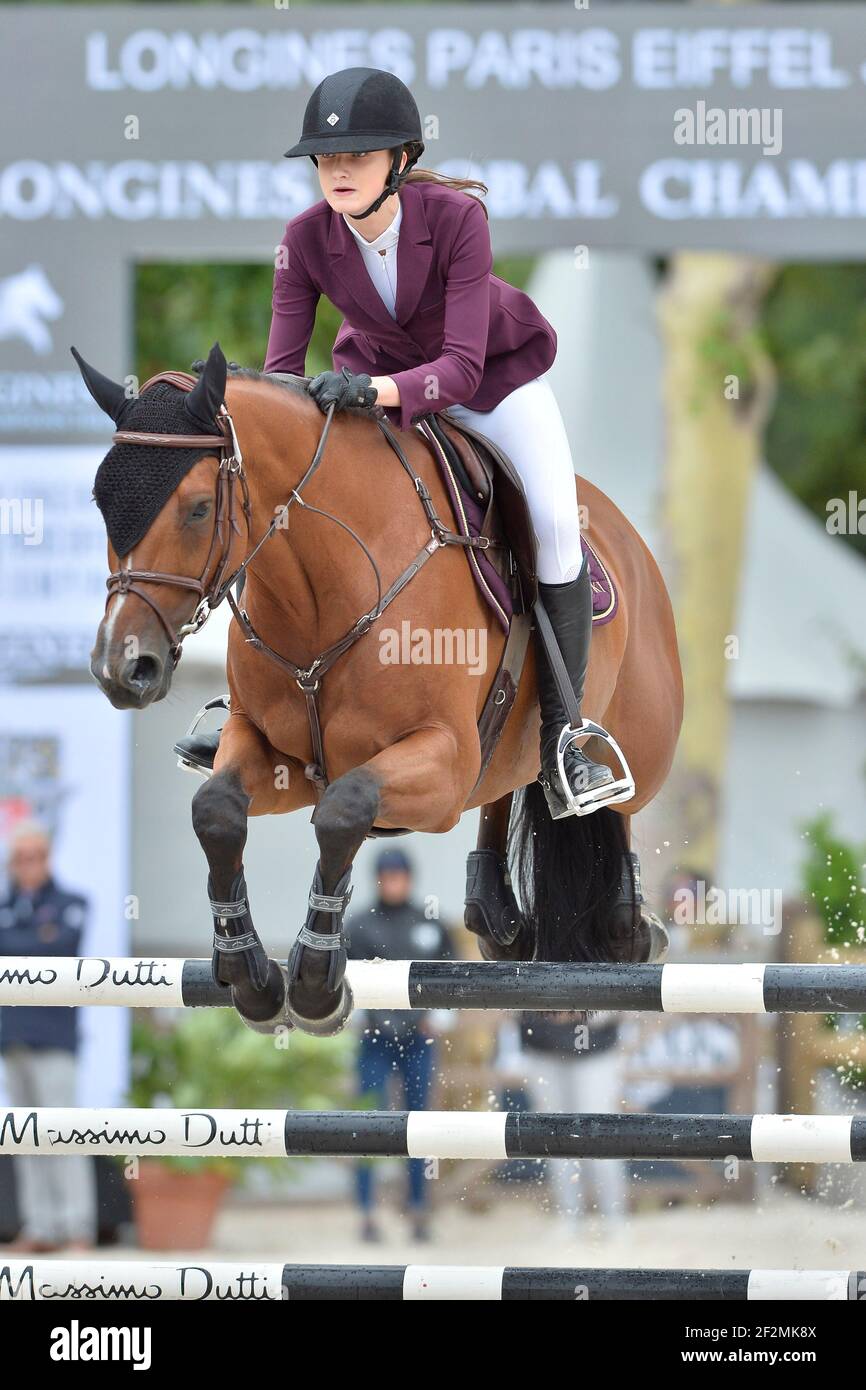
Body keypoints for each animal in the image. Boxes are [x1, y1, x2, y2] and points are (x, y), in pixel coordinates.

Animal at [76, 341, 683, 1039]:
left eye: (199, 508)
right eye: (100, 502)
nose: (123, 668)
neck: (324, 587)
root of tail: (626, 536)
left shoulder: (440, 764)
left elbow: (345, 809)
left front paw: (316, 981)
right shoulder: (276, 755)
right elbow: (218, 811)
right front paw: (251, 977)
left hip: (641, 739)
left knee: (611, 802)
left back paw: (621, 902)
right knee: (508, 781)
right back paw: (495, 911)